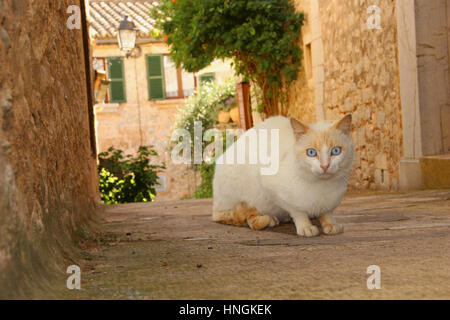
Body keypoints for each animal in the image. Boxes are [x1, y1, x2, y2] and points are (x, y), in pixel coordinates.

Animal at [213, 115, 354, 238]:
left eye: (336, 151)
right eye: (311, 152)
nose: (325, 166)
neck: (323, 186)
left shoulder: (331, 201)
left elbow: (327, 213)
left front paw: (330, 224)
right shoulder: (272, 190)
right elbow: (298, 212)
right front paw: (306, 227)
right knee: (236, 216)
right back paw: (270, 219)